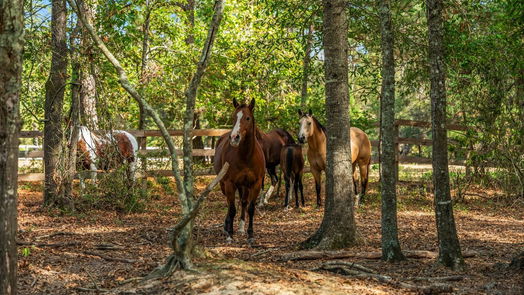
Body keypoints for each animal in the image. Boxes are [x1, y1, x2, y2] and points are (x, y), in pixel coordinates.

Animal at [212, 98, 264, 244]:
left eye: (247, 118)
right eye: (233, 117)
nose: (234, 137)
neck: (246, 156)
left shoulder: (256, 184)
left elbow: (250, 208)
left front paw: (250, 235)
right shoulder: (230, 183)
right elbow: (232, 208)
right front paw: (230, 234)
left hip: (244, 186)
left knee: (244, 202)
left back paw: (241, 228)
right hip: (224, 184)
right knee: (229, 203)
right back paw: (226, 227)